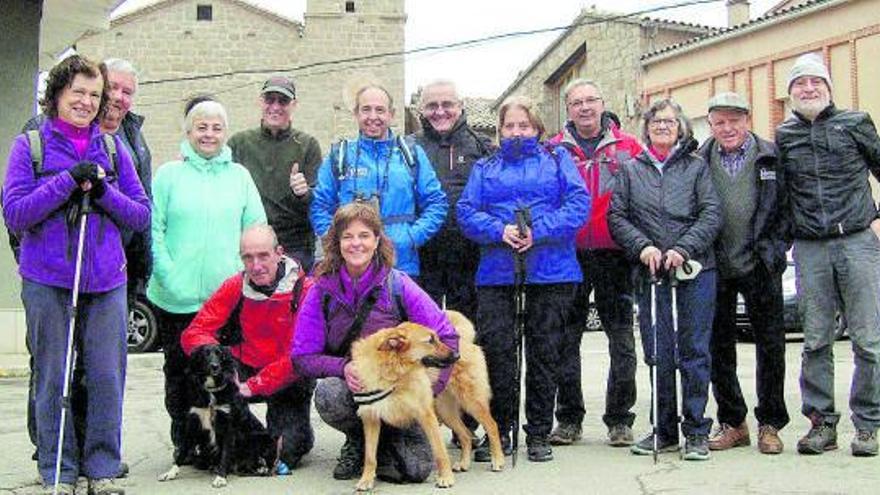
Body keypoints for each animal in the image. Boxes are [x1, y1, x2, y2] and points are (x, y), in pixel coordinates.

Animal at [158, 346, 276, 490]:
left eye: (220, 355)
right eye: (205, 354)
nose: (215, 366)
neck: (211, 391)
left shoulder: (228, 427)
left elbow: (225, 455)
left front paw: (221, 478)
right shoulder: (193, 424)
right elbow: (182, 451)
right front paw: (171, 472)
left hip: (265, 438)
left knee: (263, 463)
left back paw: (262, 468)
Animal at [348, 310, 502, 492]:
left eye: (436, 338)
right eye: (430, 341)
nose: (456, 356)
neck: (393, 369)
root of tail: (465, 341)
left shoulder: (426, 415)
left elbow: (439, 452)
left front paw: (446, 477)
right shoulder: (370, 418)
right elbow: (370, 456)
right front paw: (366, 479)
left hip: (471, 403)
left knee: (492, 426)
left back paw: (498, 460)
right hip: (446, 411)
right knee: (465, 434)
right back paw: (464, 463)